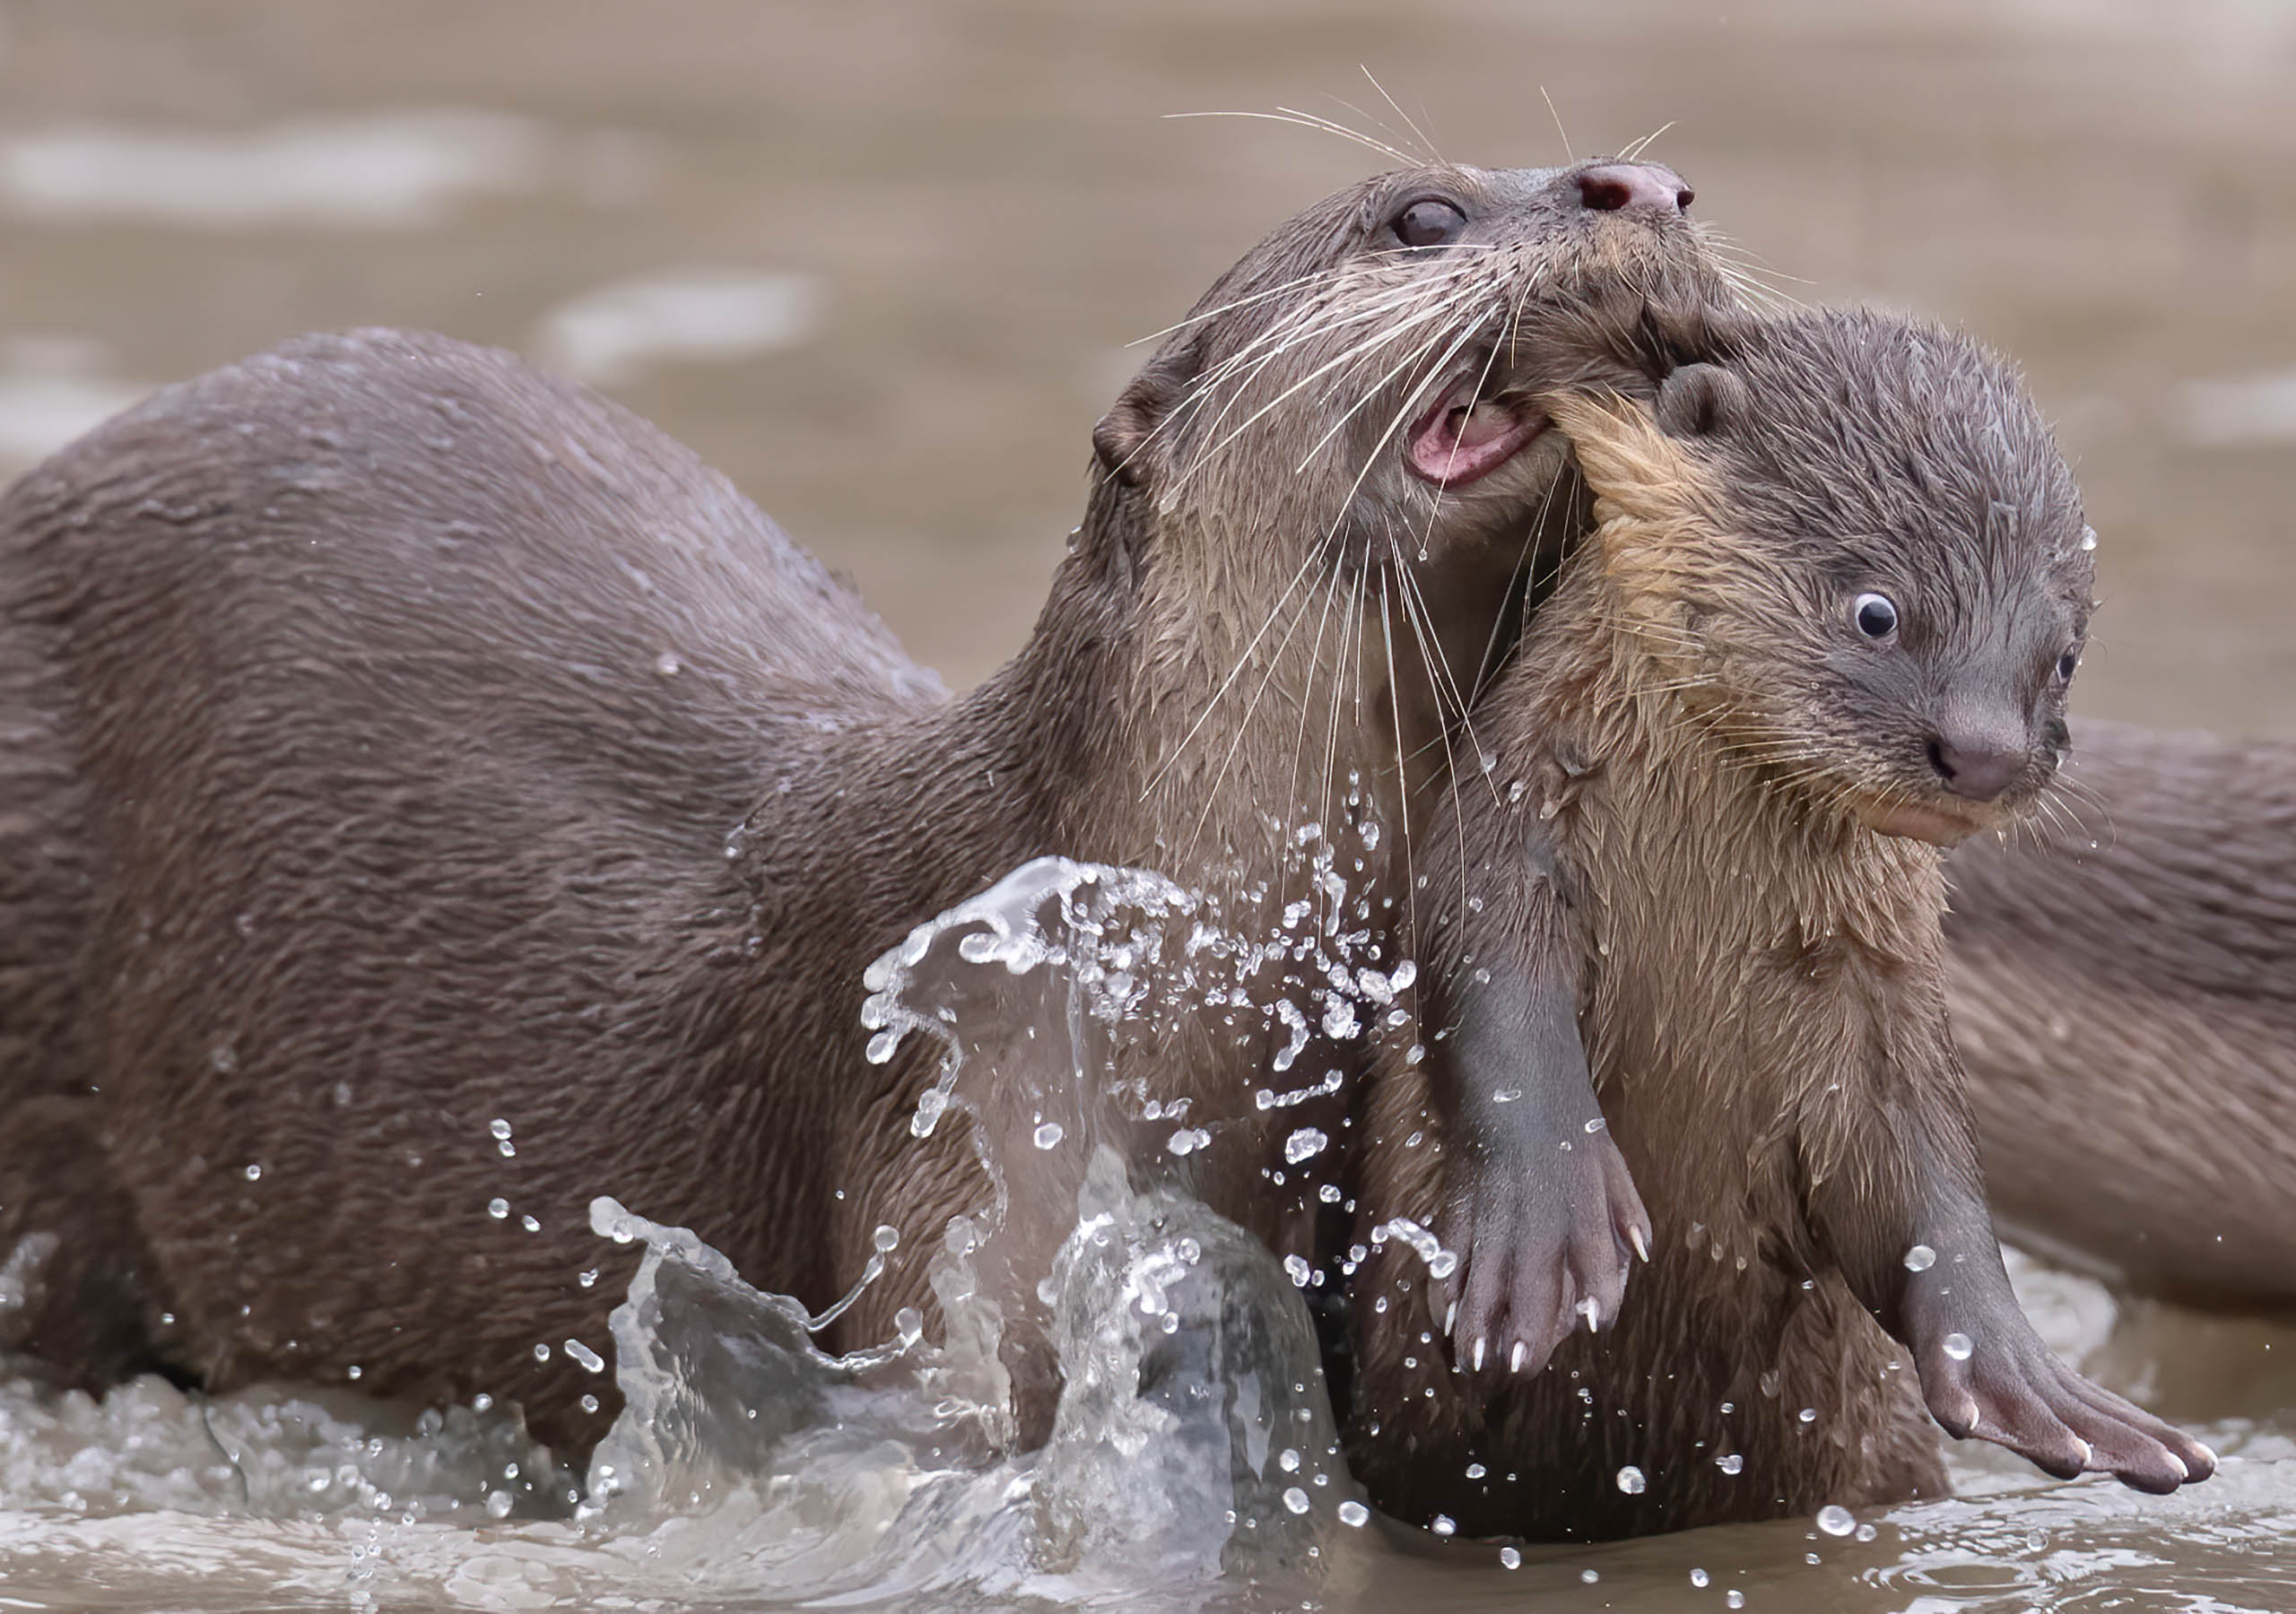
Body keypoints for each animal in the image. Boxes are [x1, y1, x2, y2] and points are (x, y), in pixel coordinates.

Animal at [1341, 305, 2204, 1542]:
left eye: (2062, 658)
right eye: (1877, 611)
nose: (1985, 752)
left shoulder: (1878, 983)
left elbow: (1923, 1173)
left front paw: (2026, 1376)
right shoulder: (1508, 832)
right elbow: (1493, 1000)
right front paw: (1543, 1235)